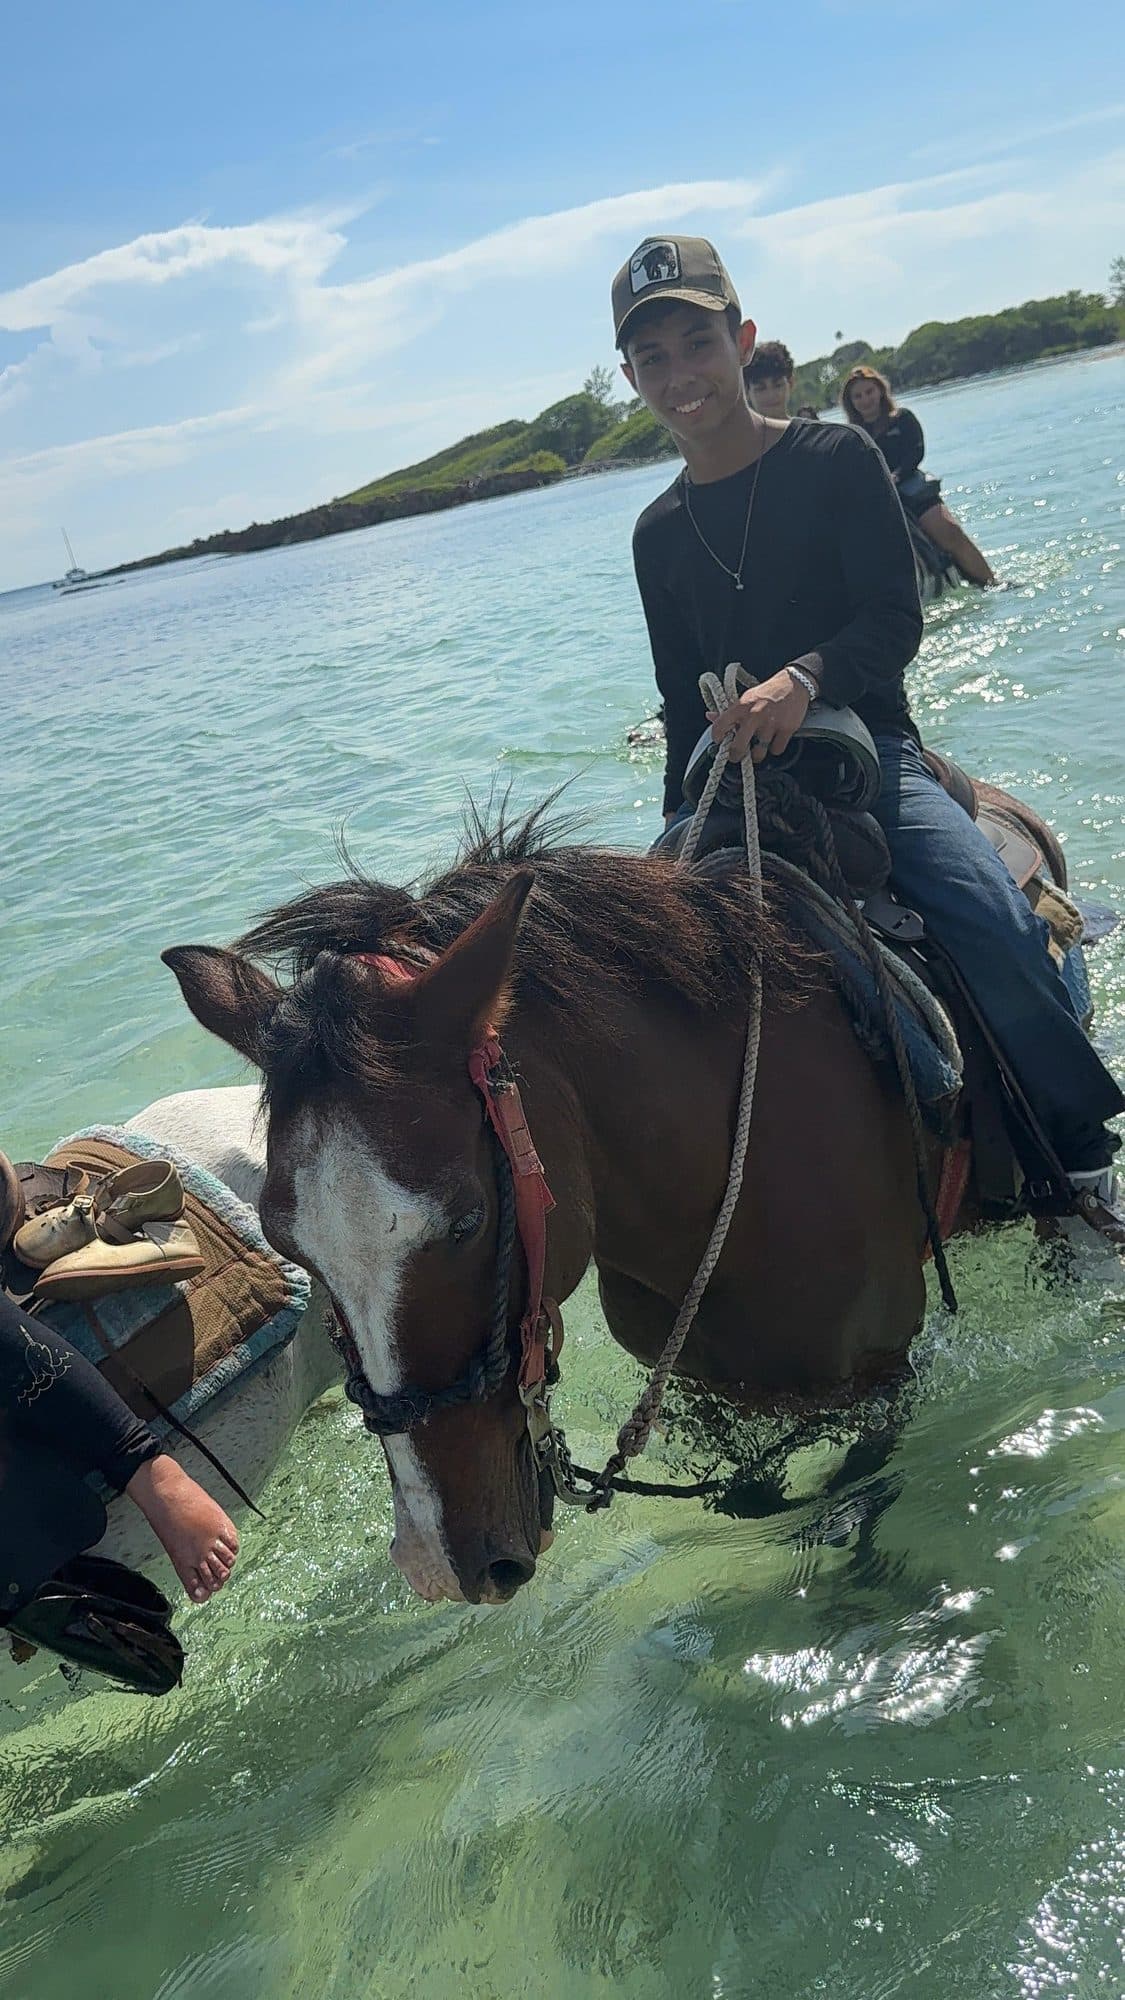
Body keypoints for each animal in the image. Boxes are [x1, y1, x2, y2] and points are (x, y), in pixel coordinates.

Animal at [161, 809, 957, 1611]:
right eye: (287, 1245)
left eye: (468, 1221)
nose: (439, 1562)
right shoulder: (704, 1384)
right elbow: (753, 1495)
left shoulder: (881, 1377)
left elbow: (852, 1496)